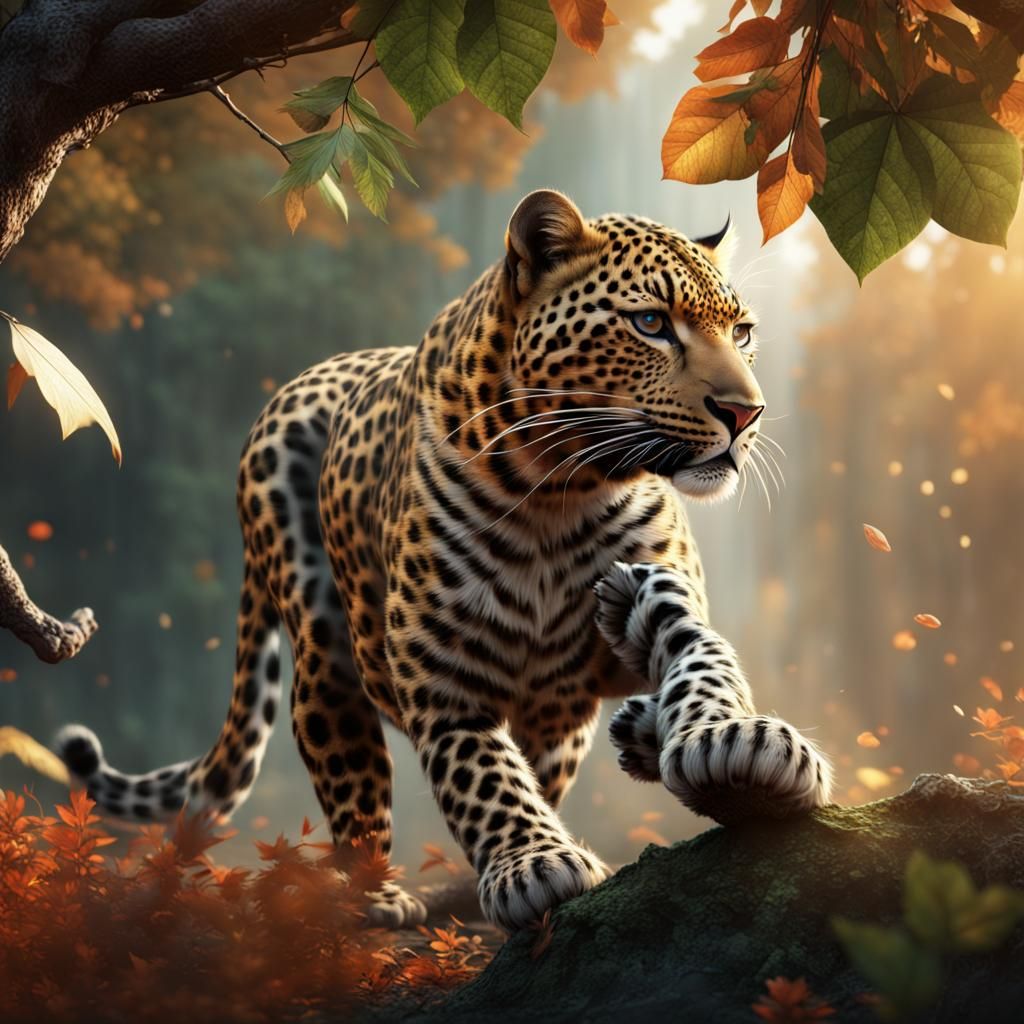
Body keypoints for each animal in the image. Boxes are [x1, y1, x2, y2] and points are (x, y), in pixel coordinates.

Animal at [56, 189, 833, 932]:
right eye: (649, 323)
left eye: (742, 333)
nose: (747, 413)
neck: (563, 493)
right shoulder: (445, 682)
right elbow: (482, 773)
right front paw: (533, 863)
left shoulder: (652, 602)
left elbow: (702, 651)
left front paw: (737, 744)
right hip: (322, 644)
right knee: (355, 776)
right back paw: (371, 894)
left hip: (556, 713)